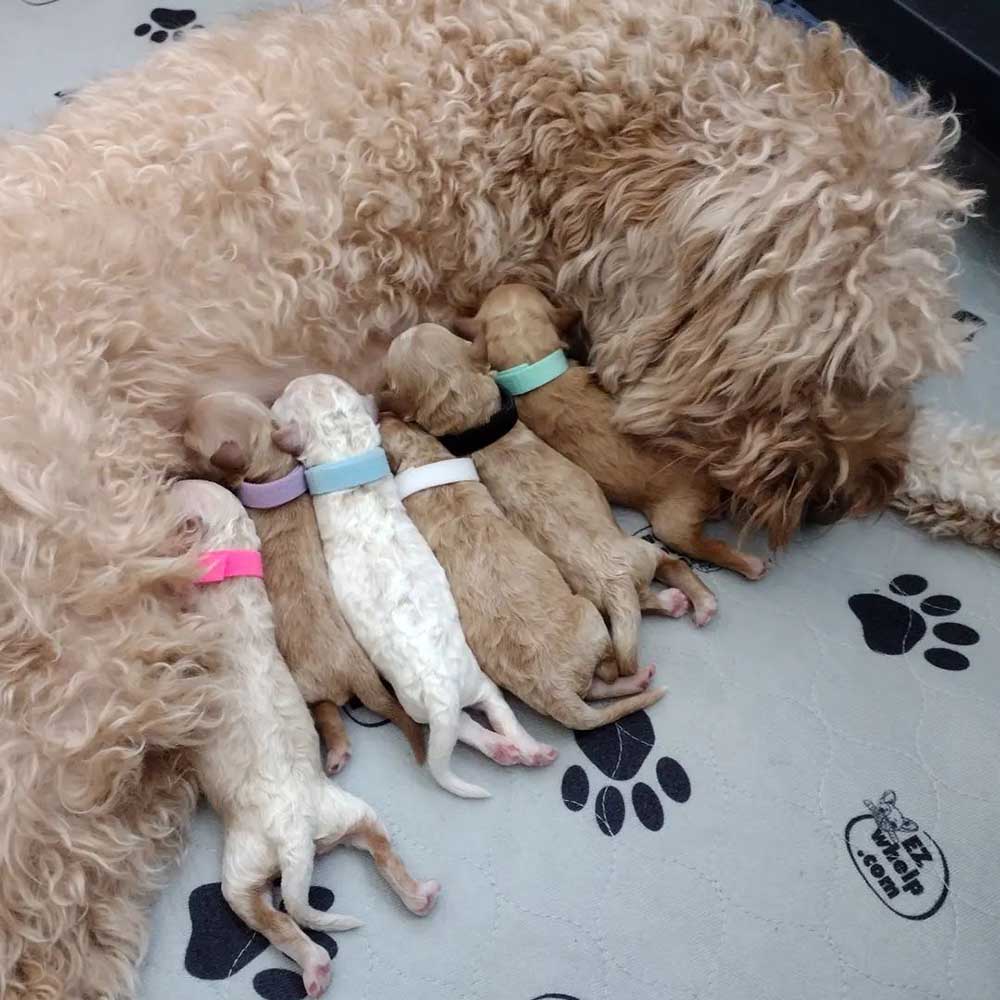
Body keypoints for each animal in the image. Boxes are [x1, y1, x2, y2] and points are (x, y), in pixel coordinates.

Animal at [174, 480, 440, 996]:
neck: (229, 561)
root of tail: (298, 837)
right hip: (350, 812)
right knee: (380, 847)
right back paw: (420, 894)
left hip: (243, 864)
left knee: (274, 919)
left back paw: (314, 966)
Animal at [184, 390, 426, 772]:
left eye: (189, 442)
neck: (274, 467)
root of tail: (356, 672)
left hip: (310, 689)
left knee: (327, 713)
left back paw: (336, 752)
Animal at [270, 372, 560, 800]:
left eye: (288, 394)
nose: (280, 390)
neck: (347, 451)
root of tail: (443, 694)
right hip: (471, 685)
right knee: (488, 717)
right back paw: (524, 749)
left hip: (425, 701)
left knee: (464, 729)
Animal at [378, 418, 668, 732]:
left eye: (399, 421)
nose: (382, 415)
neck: (425, 458)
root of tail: (557, 693)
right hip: (588, 613)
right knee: (607, 672)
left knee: (600, 683)